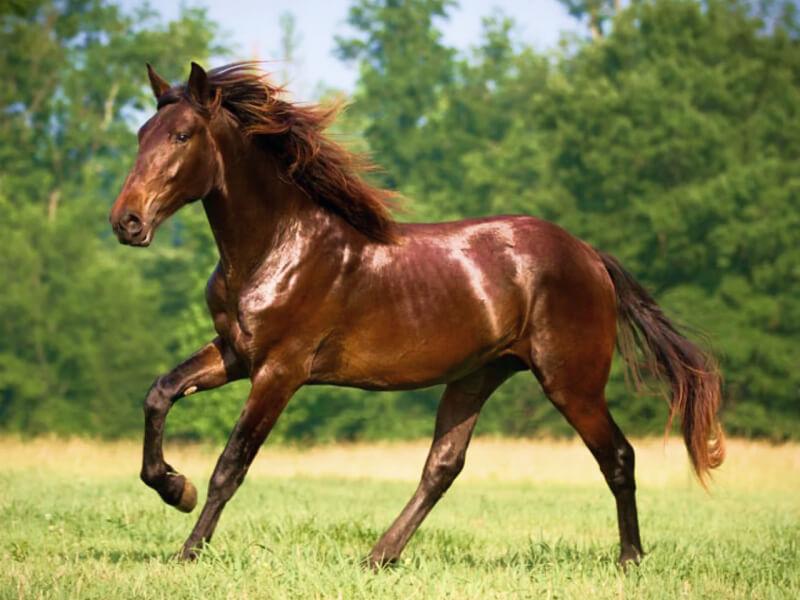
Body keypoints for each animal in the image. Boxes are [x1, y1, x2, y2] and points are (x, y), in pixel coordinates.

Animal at [109, 61, 725, 567]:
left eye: (182, 135)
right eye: (140, 135)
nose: (126, 222)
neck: (278, 246)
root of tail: (591, 256)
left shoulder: (280, 370)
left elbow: (231, 463)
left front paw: (188, 548)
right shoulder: (236, 354)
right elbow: (160, 393)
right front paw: (173, 487)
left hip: (571, 382)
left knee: (618, 456)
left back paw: (630, 560)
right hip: (479, 375)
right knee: (443, 467)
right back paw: (379, 556)